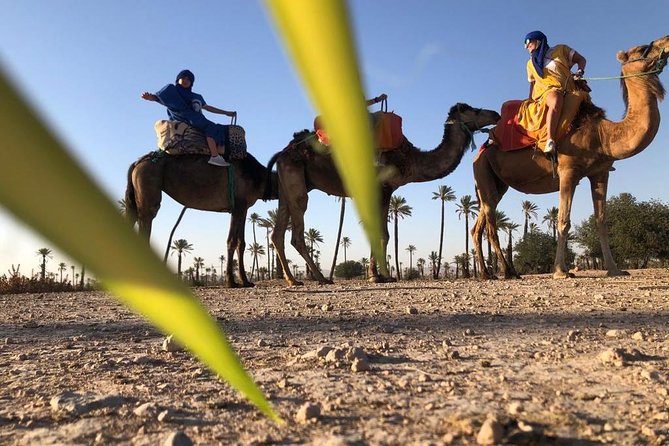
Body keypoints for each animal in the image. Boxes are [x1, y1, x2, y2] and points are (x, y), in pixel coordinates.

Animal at [125, 152, 277, 287]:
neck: (258, 177)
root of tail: (136, 163)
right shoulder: (238, 204)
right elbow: (232, 241)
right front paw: (231, 282)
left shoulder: (243, 207)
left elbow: (241, 243)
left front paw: (246, 282)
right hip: (147, 185)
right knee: (148, 216)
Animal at [267, 103, 501, 286]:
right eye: (475, 110)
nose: (496, 114)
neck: (411, 159)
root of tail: (282, 153)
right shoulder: (383, 188)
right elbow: (383, 233)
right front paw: (378, 276)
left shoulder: (385, 191)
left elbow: (382, 233)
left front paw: (381, 275)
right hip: (297, 183)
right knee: (297, 232)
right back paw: (321, 278)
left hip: (287, 187)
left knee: (277, 233)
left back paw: (292, 279)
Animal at [472, 35, 669, 280]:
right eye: (642, 48)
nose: (667, 40)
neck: (603, 135)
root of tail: (483, 146)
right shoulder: (568, 171)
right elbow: (563, 220)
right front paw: (560, 271)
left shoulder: (600, 172)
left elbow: (601, 222)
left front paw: (615, 269)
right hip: (483, 172)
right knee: (491, 226)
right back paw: (508, 272)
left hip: (496, 184)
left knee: (478, 225)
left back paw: (487, 274)